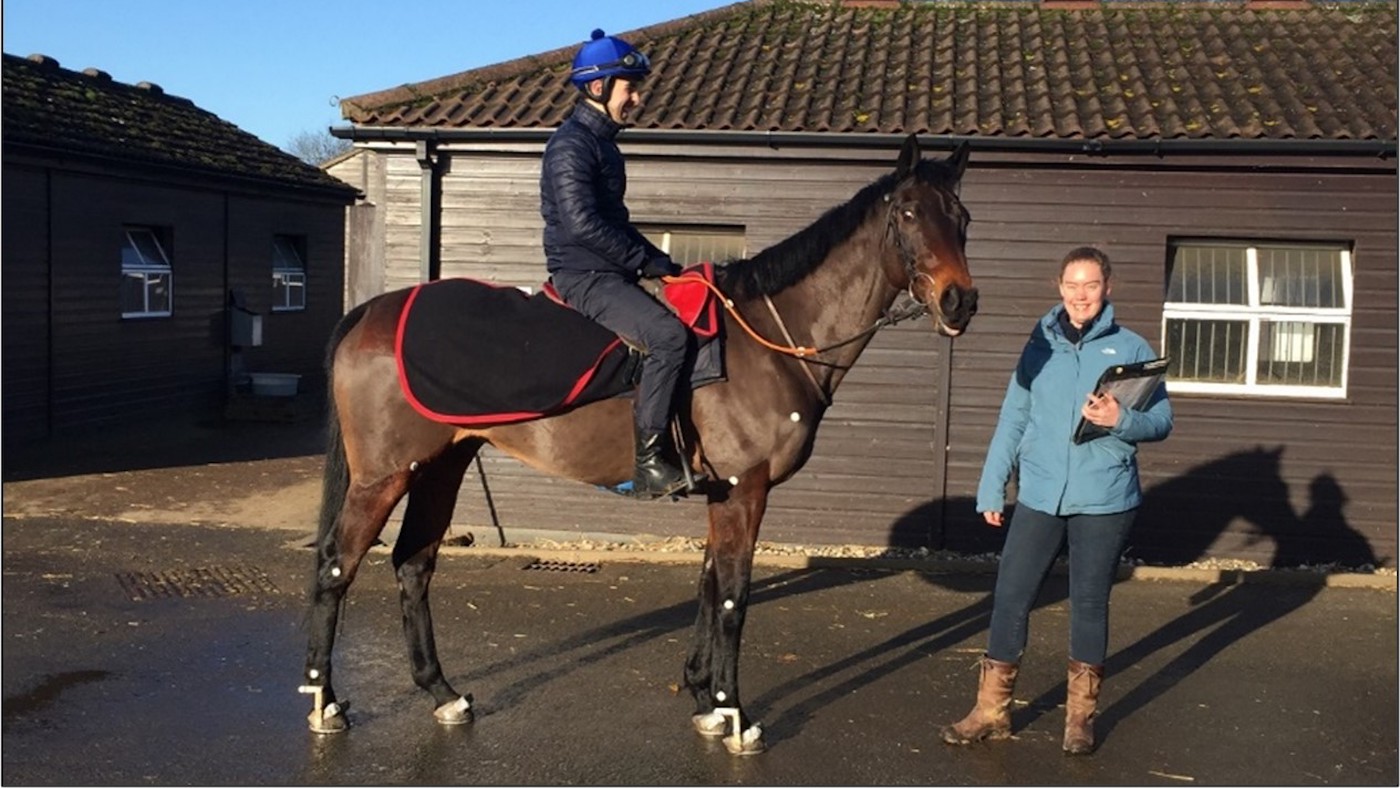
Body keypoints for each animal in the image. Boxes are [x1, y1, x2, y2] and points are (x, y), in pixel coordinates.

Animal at [299, 134, 977, 755]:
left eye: (963, 218)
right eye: (909, 213)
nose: (960, 300)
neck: (768, 338)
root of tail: (372, 312)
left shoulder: (723, 492)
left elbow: (709, 584)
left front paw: (704, 699)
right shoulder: (745, 488)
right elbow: (734, 596)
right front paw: (735, 715)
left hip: (440, 465)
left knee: (413, 564)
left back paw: (442, 694)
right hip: (384, 475)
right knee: (336, 565)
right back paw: (325, 702)